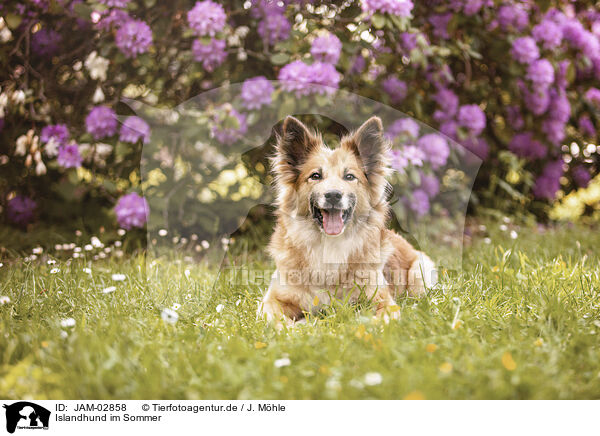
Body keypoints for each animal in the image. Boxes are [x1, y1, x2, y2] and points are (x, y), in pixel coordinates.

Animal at [258, 116, 436, 328]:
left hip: (420, 271)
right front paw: (299, 327)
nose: (333, 195)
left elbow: (372, 320)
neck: (329, 246)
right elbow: (277, 321)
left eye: (349, 176)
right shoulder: (271, 301)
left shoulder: (383, 301)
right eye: (315, 176)